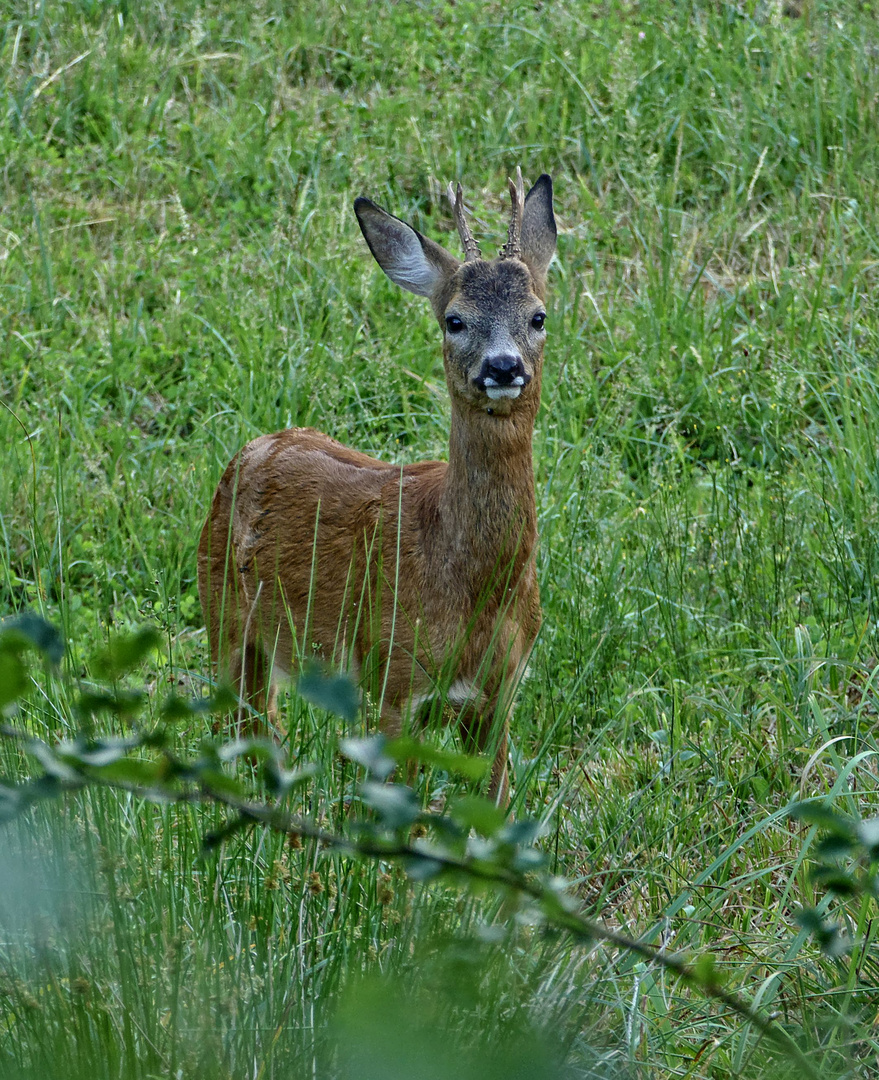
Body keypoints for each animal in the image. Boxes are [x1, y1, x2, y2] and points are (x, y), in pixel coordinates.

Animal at [199, 170, 557, 803]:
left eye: (537, 316)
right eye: (454, 319)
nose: (503, 366)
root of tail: (249, 449)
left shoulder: (502, 692)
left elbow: (496, 801)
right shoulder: (391, 673)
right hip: (222, 612)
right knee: (242, 725)